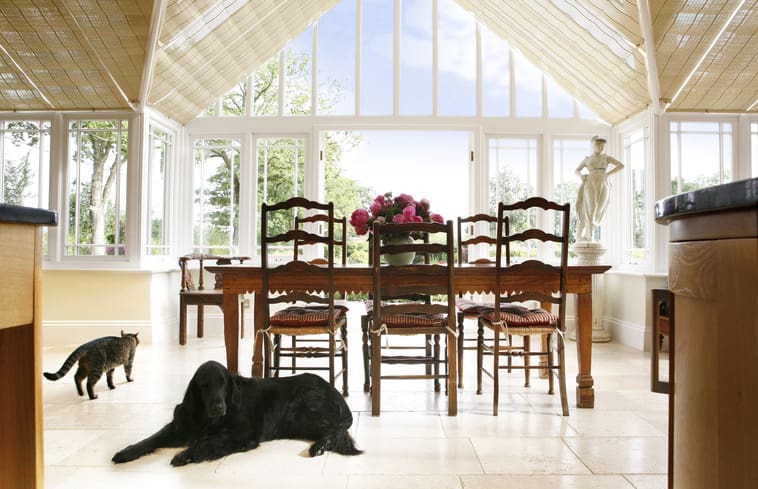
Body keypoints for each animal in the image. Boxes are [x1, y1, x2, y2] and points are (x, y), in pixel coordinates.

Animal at [111, 358, 364, 466]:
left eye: (223, 383)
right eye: (204, 385)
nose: (218, 406)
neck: (207, 420)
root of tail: (335, 391)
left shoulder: (243, 433)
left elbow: (208, 442)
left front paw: (186, 455)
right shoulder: (179, 427)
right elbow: (151, 439)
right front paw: (126, 452)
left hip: (300, 412)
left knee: (335, 430)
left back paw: (318, 447)